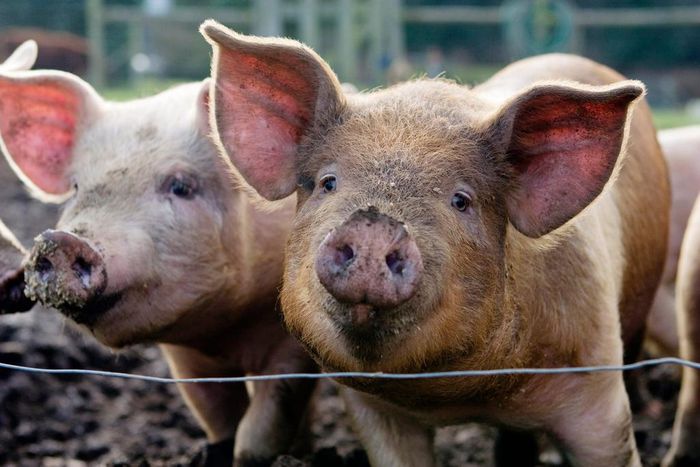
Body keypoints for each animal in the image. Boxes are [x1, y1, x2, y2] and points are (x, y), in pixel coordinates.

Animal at [0, 68, 315, 465]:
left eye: (181, 186)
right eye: (75, 188)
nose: (60, 241)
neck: (225, 332)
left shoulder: (292, 342)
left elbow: (266, 421)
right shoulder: (186, 360)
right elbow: (217, 415)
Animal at [202, 21, 670, 466]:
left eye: (461, 200)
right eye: (326, 183)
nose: (373, 222)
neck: (460, 395)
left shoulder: (596, 383)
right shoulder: (373, 409)